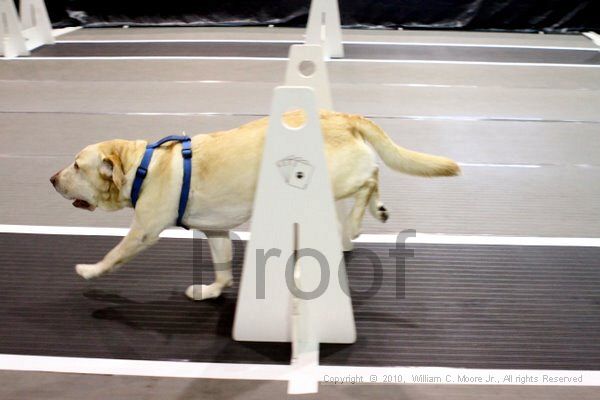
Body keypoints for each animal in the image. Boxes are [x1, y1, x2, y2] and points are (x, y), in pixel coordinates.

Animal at [51, 111, 460, 298]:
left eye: (76, 165)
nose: (52, 179)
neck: (142, 167)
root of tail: (345, 117)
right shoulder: (215, 231)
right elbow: (222, 269)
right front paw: (212, 291)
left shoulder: (144, 231)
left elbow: (114, 254)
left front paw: (90, 270)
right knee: (373, 176)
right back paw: (377, 211)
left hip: (335, 178)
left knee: (371, 174)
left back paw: (358, 221)